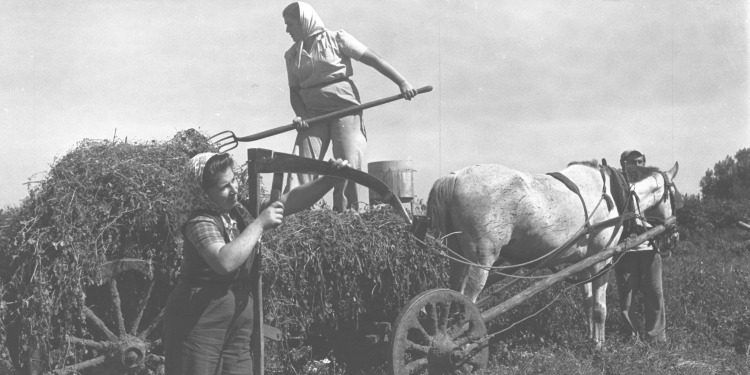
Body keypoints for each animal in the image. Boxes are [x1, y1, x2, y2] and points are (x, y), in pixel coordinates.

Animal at [428, 160, 680, 348]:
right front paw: (599, 346)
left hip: (458, 258)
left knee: (453, 296)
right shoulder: (602, 260)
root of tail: (454, 177)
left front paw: (591, 338)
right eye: (674, 194)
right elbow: (600, 307)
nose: (673, 236)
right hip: (482, 260)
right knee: (469, 304)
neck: (617, 194)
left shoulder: (583, 262)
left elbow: (588, 302)